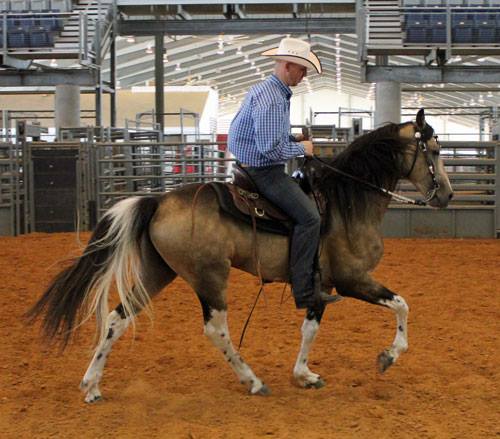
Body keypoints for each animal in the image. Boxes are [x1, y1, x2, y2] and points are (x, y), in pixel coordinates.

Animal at [29, 109, 456, 402]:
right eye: (434, 150)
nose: (447, 196)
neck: (345, 202)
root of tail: (158, 201)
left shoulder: (321, 285)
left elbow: (310, 328)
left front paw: (305, 375)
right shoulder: (353, 280)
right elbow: (402, 305)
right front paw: (389, 356)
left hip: (158, 271)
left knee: (118, 319)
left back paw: (91, 385)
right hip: (210, 277)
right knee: (216, 330)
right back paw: (252, 380)